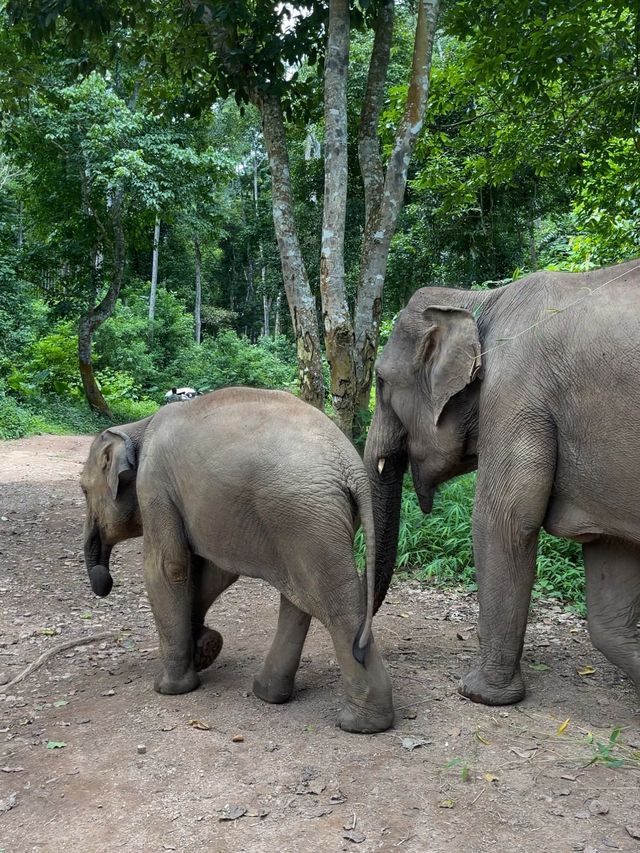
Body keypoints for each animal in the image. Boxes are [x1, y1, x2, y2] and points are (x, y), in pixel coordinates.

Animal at [80, 386, 396, 732]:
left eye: (83, 490)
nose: (104, 580)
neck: (139, 426)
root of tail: (351, 467)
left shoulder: (154, 485)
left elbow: (168, 567)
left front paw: (169, 688)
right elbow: (214, 573)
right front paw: (206, 649)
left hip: (303, 513)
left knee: (334, 604)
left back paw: (361, 724)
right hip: (308, 520)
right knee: (299, 595)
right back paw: (268, 694)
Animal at [364, 258, 640, 704]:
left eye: (382, 382)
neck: (479, 301)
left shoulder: (517, 392)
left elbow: (503, 521)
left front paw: (478, 693)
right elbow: (611, 559)